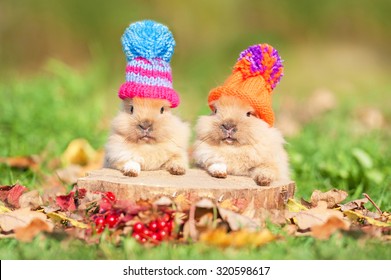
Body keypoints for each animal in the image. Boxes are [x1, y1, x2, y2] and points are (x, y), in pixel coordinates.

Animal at [193, 43, 290, 186]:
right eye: (215, 111)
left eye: (249, 114)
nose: (228, 126)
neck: (233, 148)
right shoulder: (208, 156)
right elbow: (216, 162)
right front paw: (219, 173)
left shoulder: (272, 163)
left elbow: (267, 168)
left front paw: (264, 180)